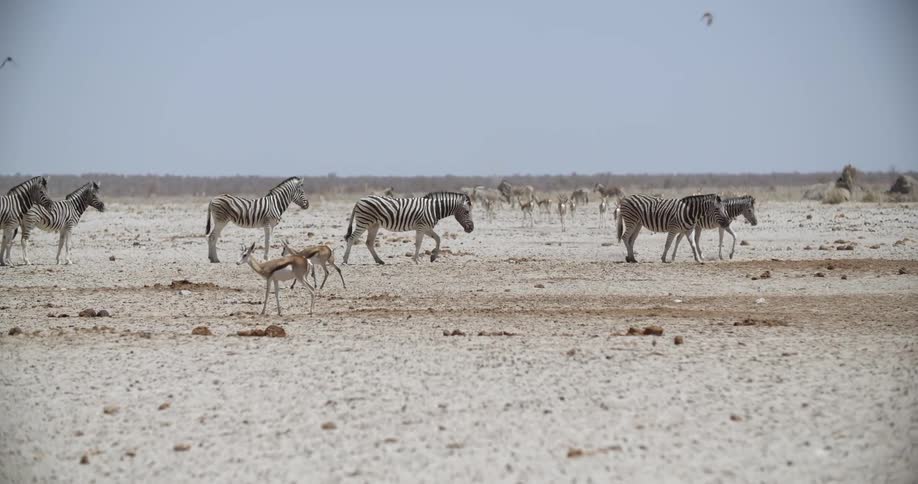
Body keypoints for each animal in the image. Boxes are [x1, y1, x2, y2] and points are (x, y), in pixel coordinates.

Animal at [342, 192, 474, 265]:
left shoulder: (426, 228)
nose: (471, 229)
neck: (434, 209)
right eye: (467, 212)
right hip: (364, 222)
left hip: (373, 225)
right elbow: (419, 243)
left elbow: (438, 239)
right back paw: (345, 260)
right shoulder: (421, 227)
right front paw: (416, 260)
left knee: (369, 242)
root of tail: (359, 200)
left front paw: (433, 257)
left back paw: (379, 261)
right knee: (352, 238)